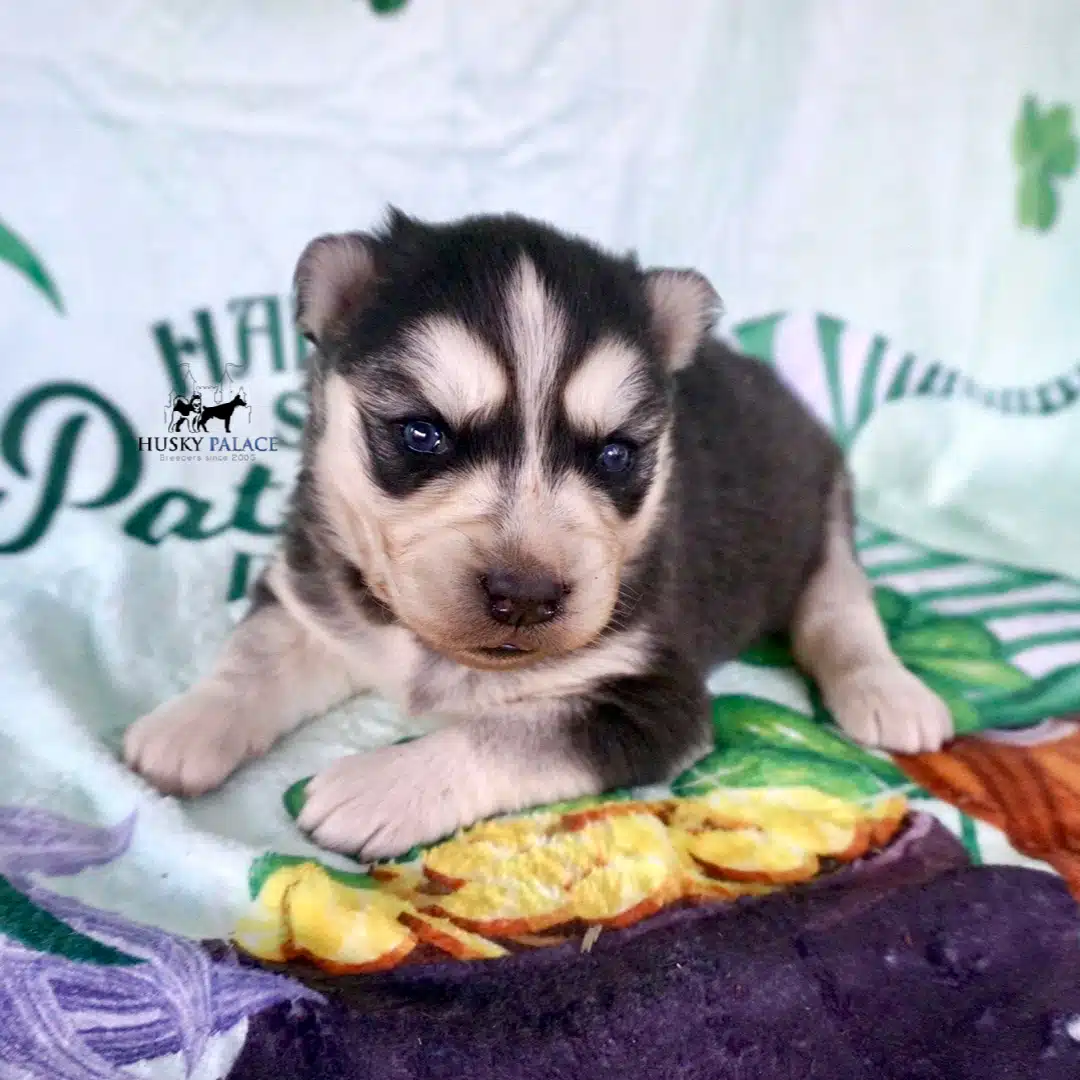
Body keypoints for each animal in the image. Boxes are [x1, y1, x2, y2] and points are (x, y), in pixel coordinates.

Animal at [124, 210, 954, 855]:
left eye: (616, 454)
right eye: (423, 434)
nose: (525, 597)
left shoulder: (654, 697)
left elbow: (511, 732)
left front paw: (381, 785)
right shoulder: (317, 600)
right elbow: (253, 658)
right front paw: (188, 725)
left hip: (827, 509)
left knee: (840, 606)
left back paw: (888, 690)